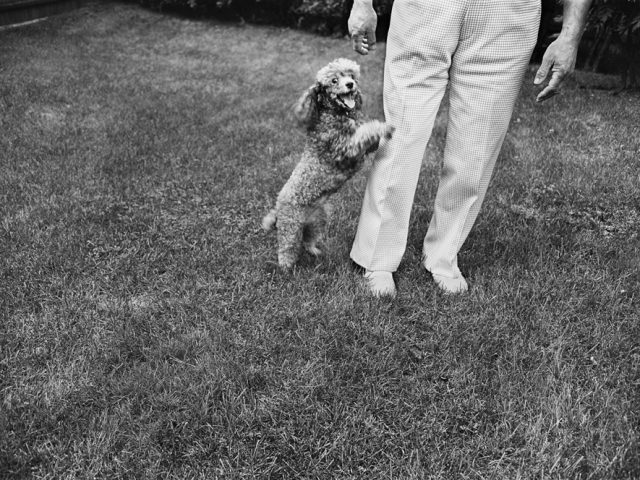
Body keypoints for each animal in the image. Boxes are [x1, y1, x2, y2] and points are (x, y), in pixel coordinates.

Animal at [262, 57, 392, 270]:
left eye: (351, 75)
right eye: (333, 80)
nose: (350, 84)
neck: (336, 114)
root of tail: (278, 207)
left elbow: (367, 135)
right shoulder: (344, 149)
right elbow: (364, 132)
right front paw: (383, 126)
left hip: (319, 219)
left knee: (308, 239)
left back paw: (314, 251)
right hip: (291, 226)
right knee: (287, 247)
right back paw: (286, 267)